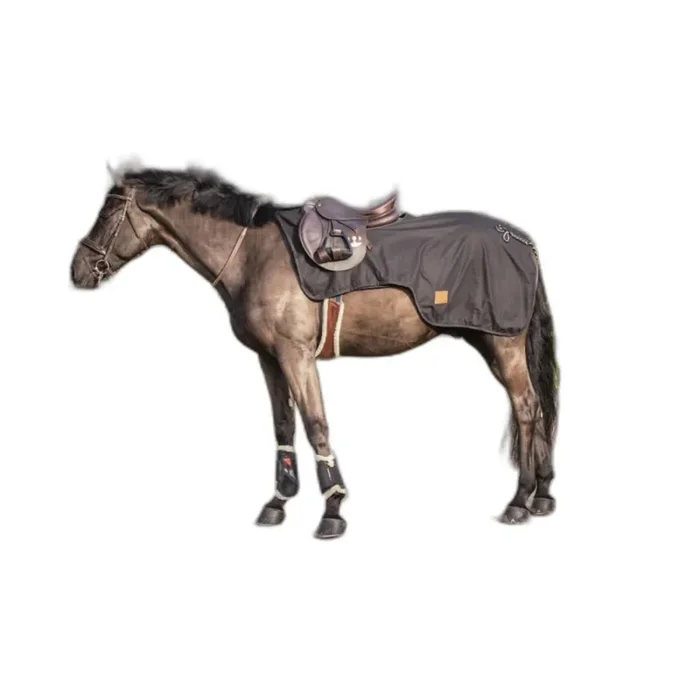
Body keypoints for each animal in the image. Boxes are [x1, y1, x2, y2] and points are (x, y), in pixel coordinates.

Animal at [70, 165, 559, 539]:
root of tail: (522, 242)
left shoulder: (296, 355)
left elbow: (315, 425)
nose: (78, 270)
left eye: (109, 211)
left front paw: (333, 510)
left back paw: (519, 501)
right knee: (535, 409)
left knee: (526, 407)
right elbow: (284, 426)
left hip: (503, 342)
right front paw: (278, 502)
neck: (253, 253)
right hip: (490, 340)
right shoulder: (269, 358)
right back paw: (542, 495)